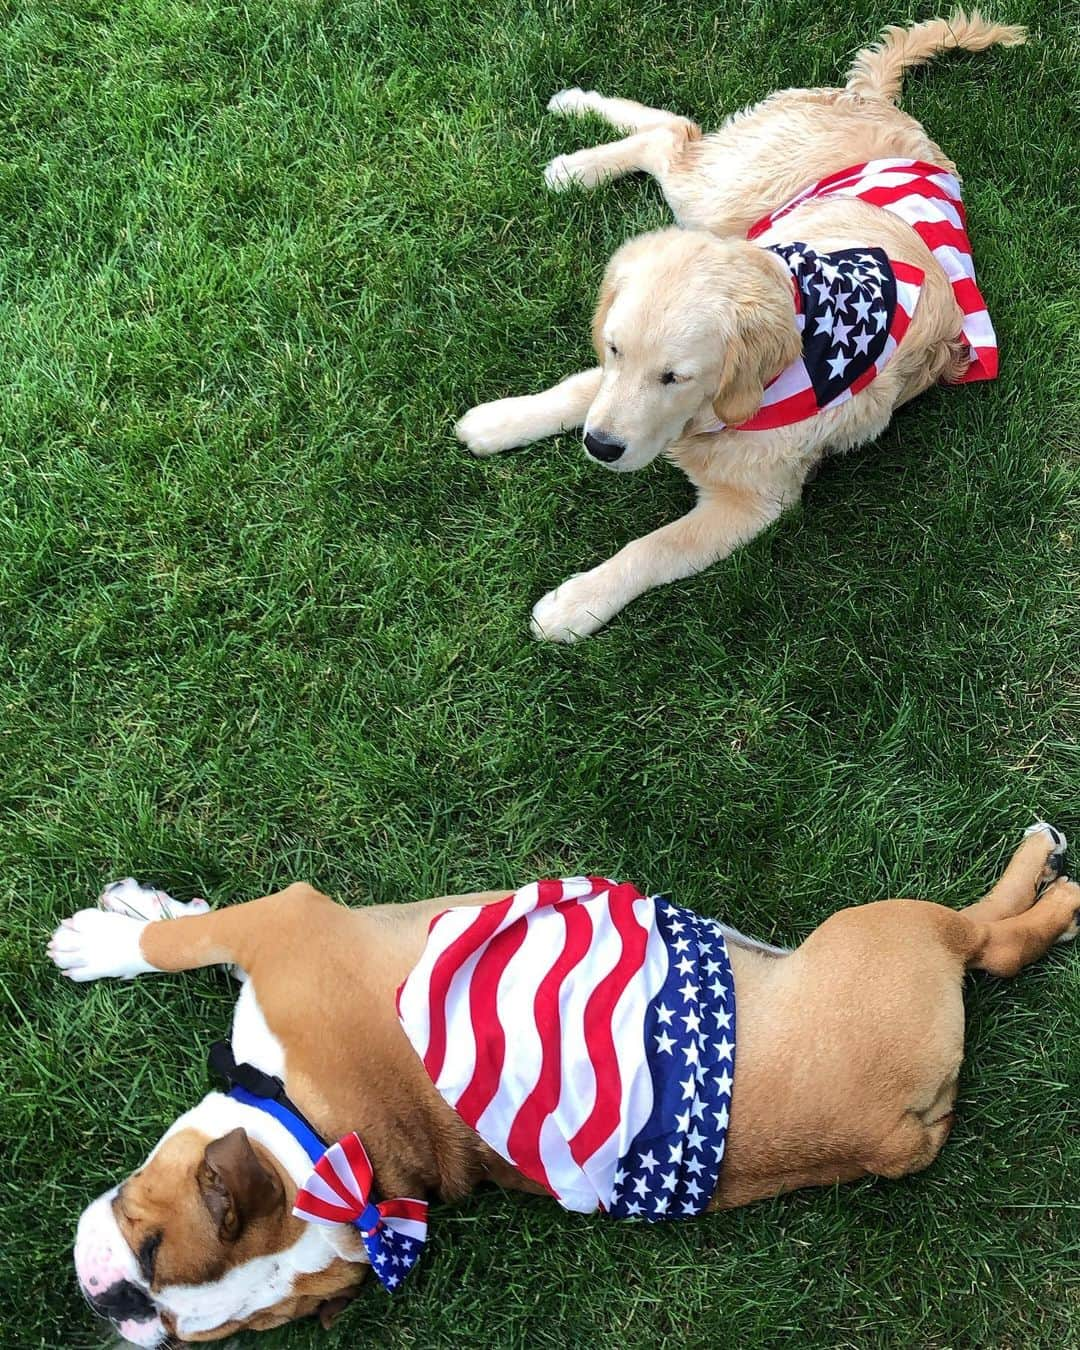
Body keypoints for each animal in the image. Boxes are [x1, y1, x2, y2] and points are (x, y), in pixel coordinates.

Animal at [459, 10, 1031, 642]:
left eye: (675, 377)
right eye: (614, 349)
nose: (600, 448)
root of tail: (875, 102)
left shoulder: (751, 504)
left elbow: (652, 548)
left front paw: (575, 604)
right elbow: (575, 392)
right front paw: (500, 421)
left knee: (676, 135)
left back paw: (574, 151)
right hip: (726, 197)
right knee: (676, 133)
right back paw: (576, 135)